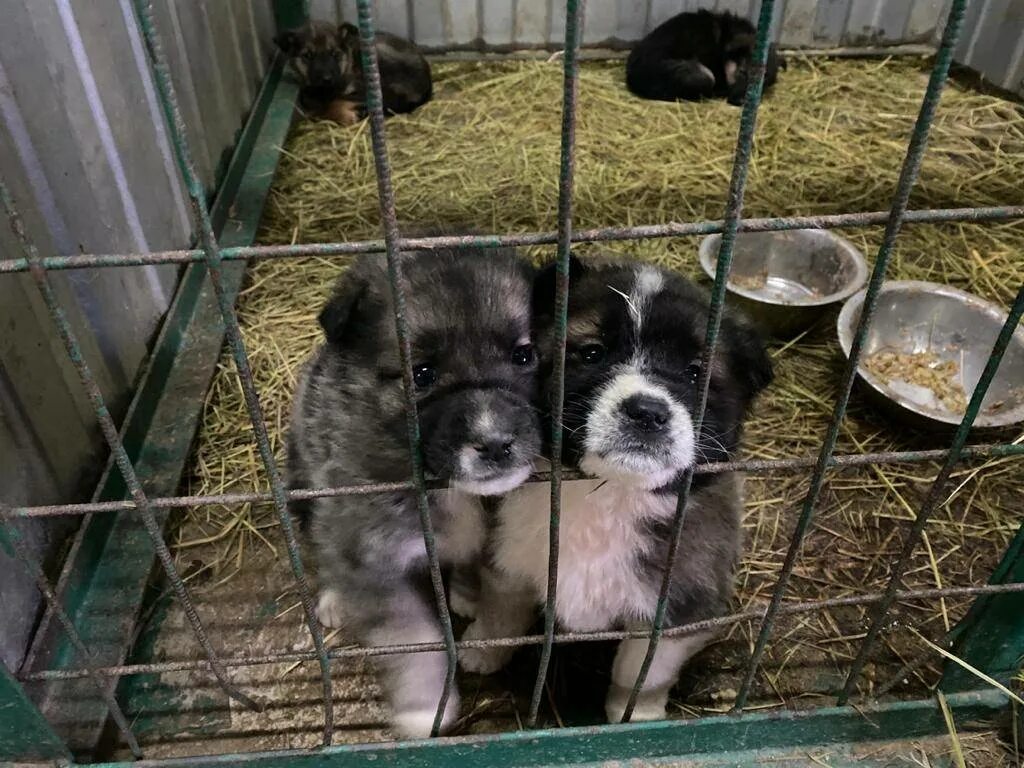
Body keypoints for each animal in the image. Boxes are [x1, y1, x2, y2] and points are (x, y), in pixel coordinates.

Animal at [274, 19, 430, 124]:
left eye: (335, 53)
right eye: (307, 56)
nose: (327, 79)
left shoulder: (359, 88)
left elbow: (332, 103)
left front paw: (345, 115)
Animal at [460, 260, 770, 729]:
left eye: (695, 372)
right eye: (592, 353)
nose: (647, 412)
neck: (601, 495)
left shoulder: (679, 607)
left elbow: (642, 672)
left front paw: (637, 715)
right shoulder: (506, 558)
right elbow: (501, 614)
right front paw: (482, 648)